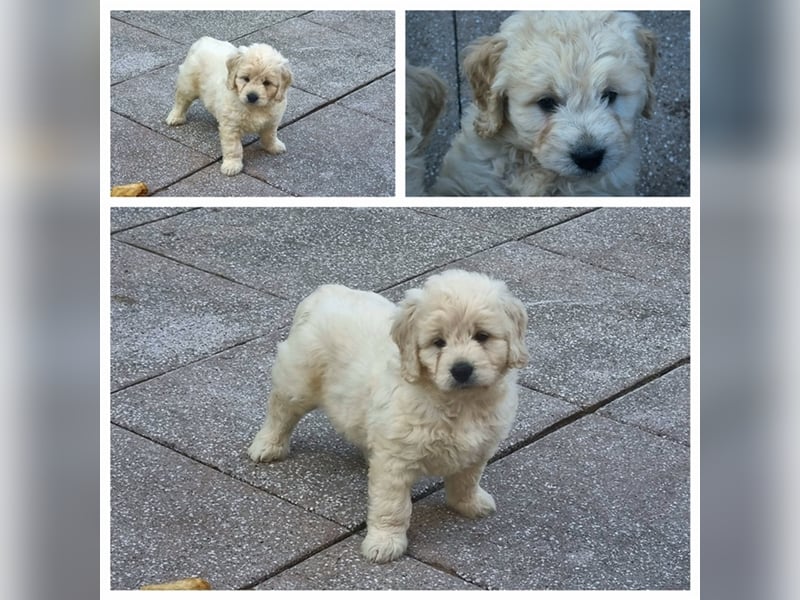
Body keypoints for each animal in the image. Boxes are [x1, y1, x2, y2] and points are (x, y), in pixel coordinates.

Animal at [166, 36, 294, 176]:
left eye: (267, 83)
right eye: (246, 78)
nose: (252, 96)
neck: (254, 107)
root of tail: (204, 40)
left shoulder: (272, 120)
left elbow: (270, 135)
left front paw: (274, 147)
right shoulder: (232, 127)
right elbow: (234, 148)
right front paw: (232, 165)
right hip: (188, 84)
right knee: (181, 100)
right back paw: (175, 117)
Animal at [247, 270, 528, 564]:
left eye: (482, 336)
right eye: (438, 342)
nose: (461, 370)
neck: (459, 403)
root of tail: (325, 292)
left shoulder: (479, 447)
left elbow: (467, 480)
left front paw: (469, 504)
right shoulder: (396, 461)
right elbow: (392, 506)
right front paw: (385, 542)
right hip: (298, 380)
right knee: (280, 409)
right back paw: (268, 445)